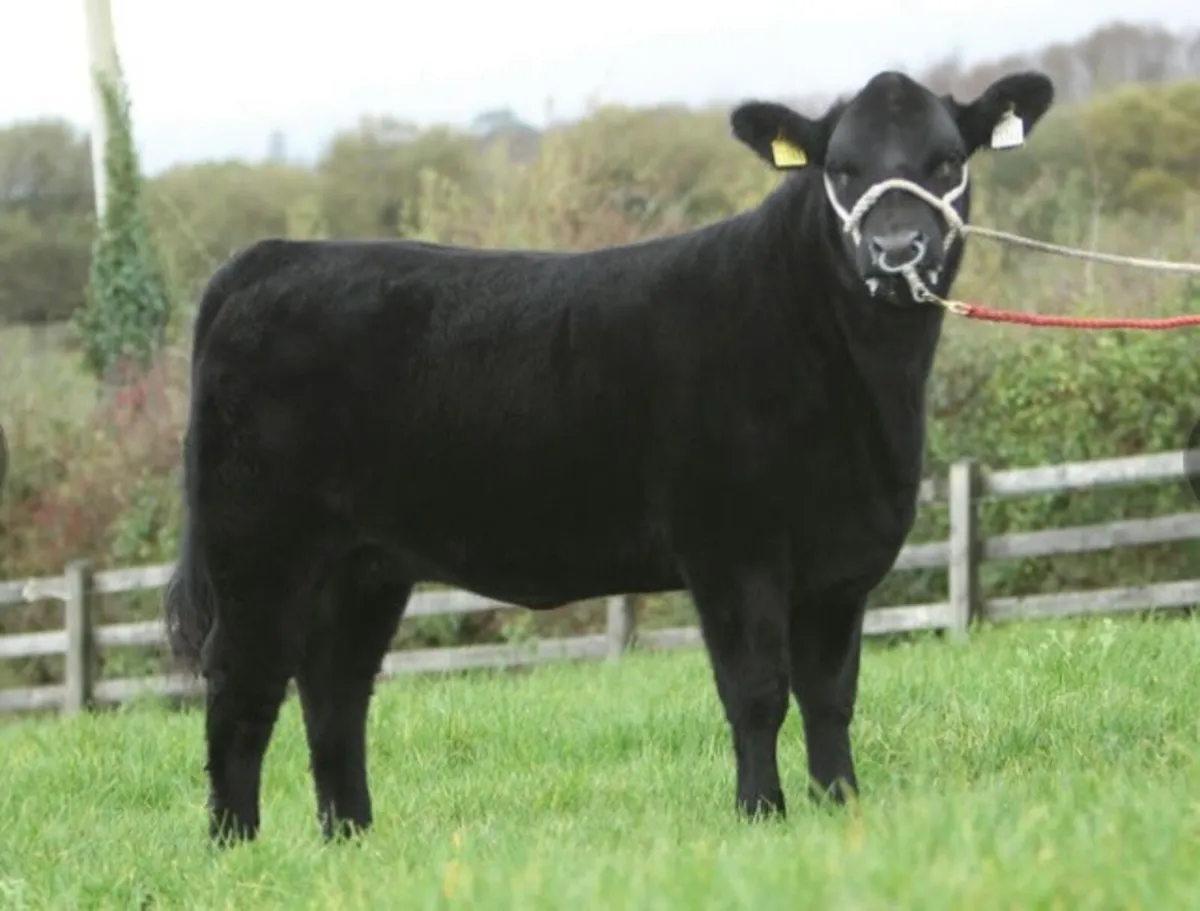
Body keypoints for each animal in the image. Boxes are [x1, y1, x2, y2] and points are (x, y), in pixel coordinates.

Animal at [164, 68, 1055, 844]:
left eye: (946, 161)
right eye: (841, 168)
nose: (897, 247)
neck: (865, 383)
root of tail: (276, 256)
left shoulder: (840, 561)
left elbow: (831, 694)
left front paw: (841, 803)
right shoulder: (730, 548)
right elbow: (757, 690)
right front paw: (761, 814)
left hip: (364, 564)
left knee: (335, 689)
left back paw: (350, 836)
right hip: (260, 547)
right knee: (241, 683)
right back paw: (235, 844)